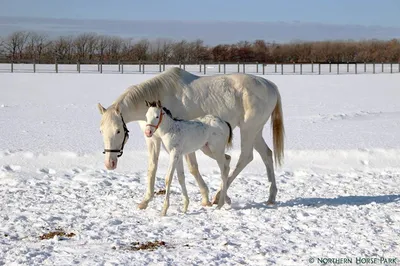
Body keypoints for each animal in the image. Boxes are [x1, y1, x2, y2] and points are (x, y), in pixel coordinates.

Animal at [97, 66, 284, 208]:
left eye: (118, 131)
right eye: (101, 131)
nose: (109, 163)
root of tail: (270, 85)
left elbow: (192, 168)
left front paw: (205, 197)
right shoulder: (153, 140)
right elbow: (152, 168)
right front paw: (145, 201)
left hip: (248, 130)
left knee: (245, 157)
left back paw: (219, 196)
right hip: (256, 131)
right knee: (266, 154)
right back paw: (270, 197)